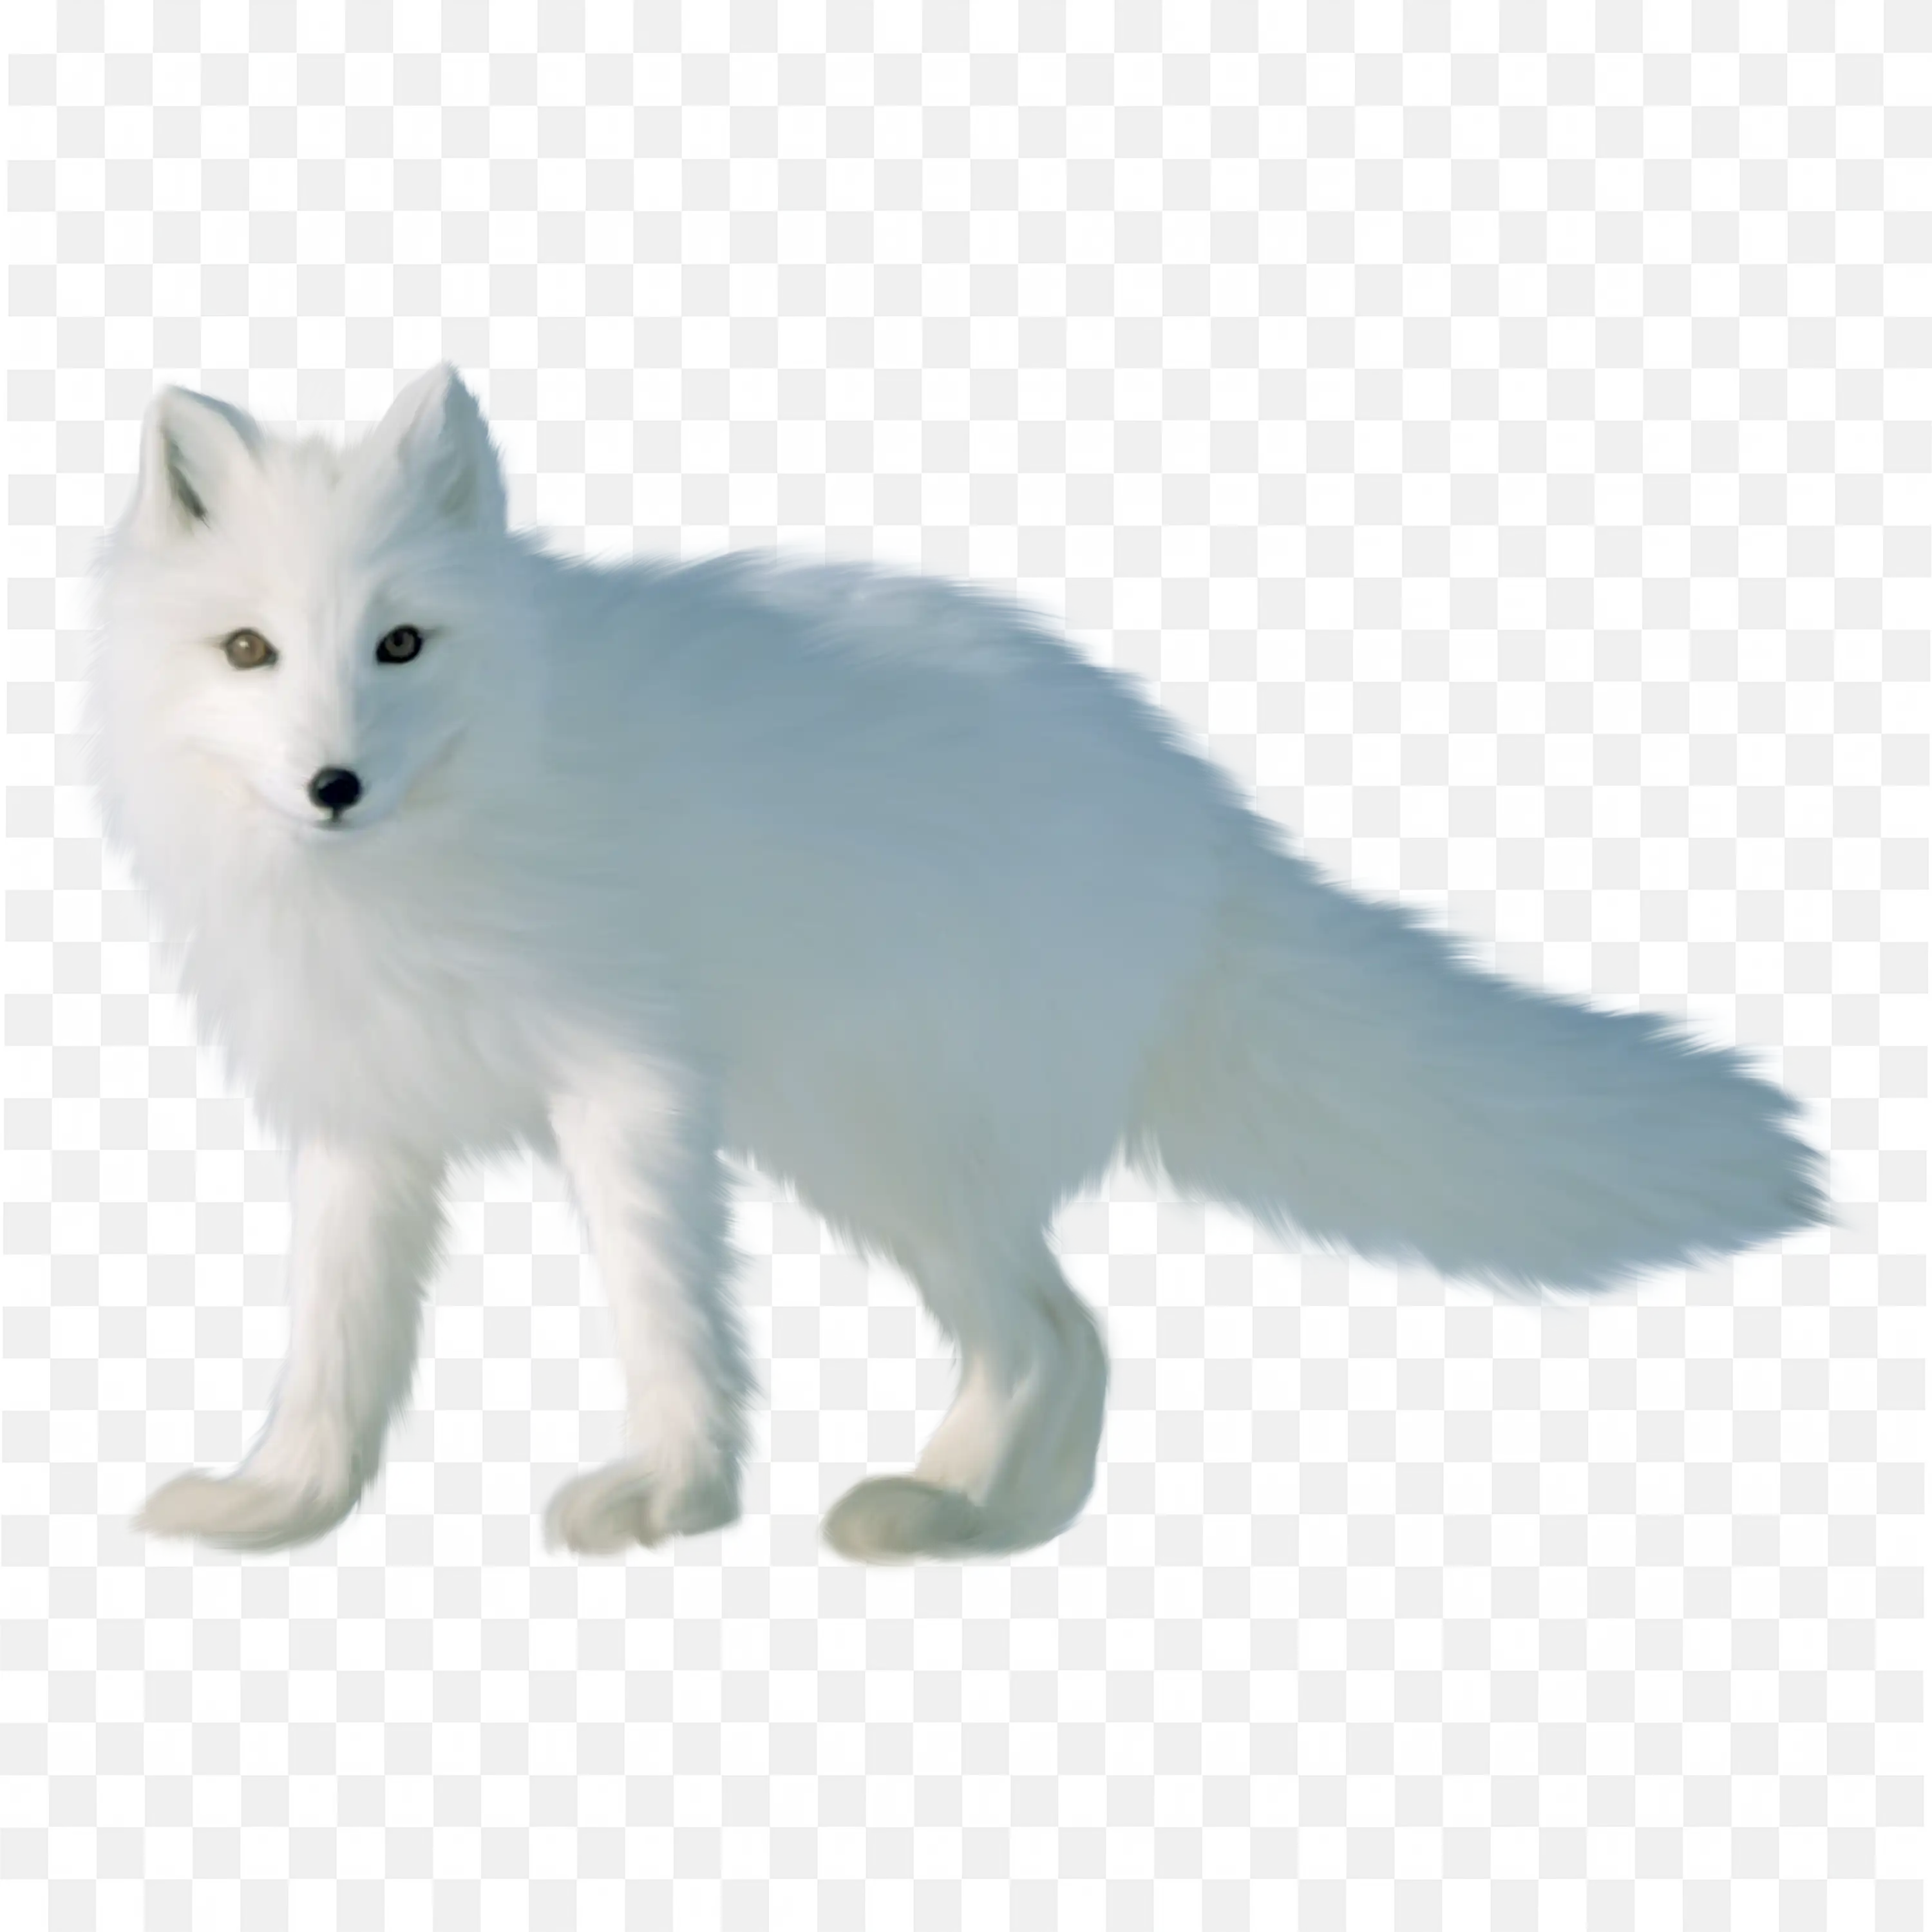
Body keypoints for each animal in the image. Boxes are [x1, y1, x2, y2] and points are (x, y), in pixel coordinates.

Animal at [84, 365, 1832, 1566]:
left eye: (400, 642)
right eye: (249, 650)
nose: (332, 785)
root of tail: (1193, 809)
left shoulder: (633, 1081)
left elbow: (665, 1307)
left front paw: (673, 1494)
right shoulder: (365, 1118)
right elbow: (336, 1344)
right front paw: (284, 1505)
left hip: (866, 1137)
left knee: (1059, 1329)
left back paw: (948, 1520)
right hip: (874, 1150)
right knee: (1068, 1332)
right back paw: (974, 1520)